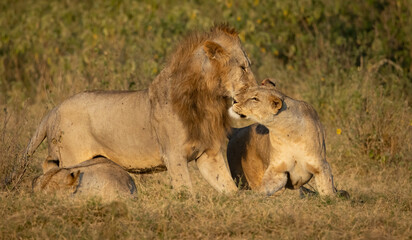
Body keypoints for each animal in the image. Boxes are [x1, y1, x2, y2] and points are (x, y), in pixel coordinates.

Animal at [25, 24, 258, 193]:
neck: (206, 99)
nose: (256, 92)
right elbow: (187, 193)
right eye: (243, 67)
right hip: (72, 159)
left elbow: (230, 189)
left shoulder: (208, 154)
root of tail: (54, 109)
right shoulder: (174, 156)